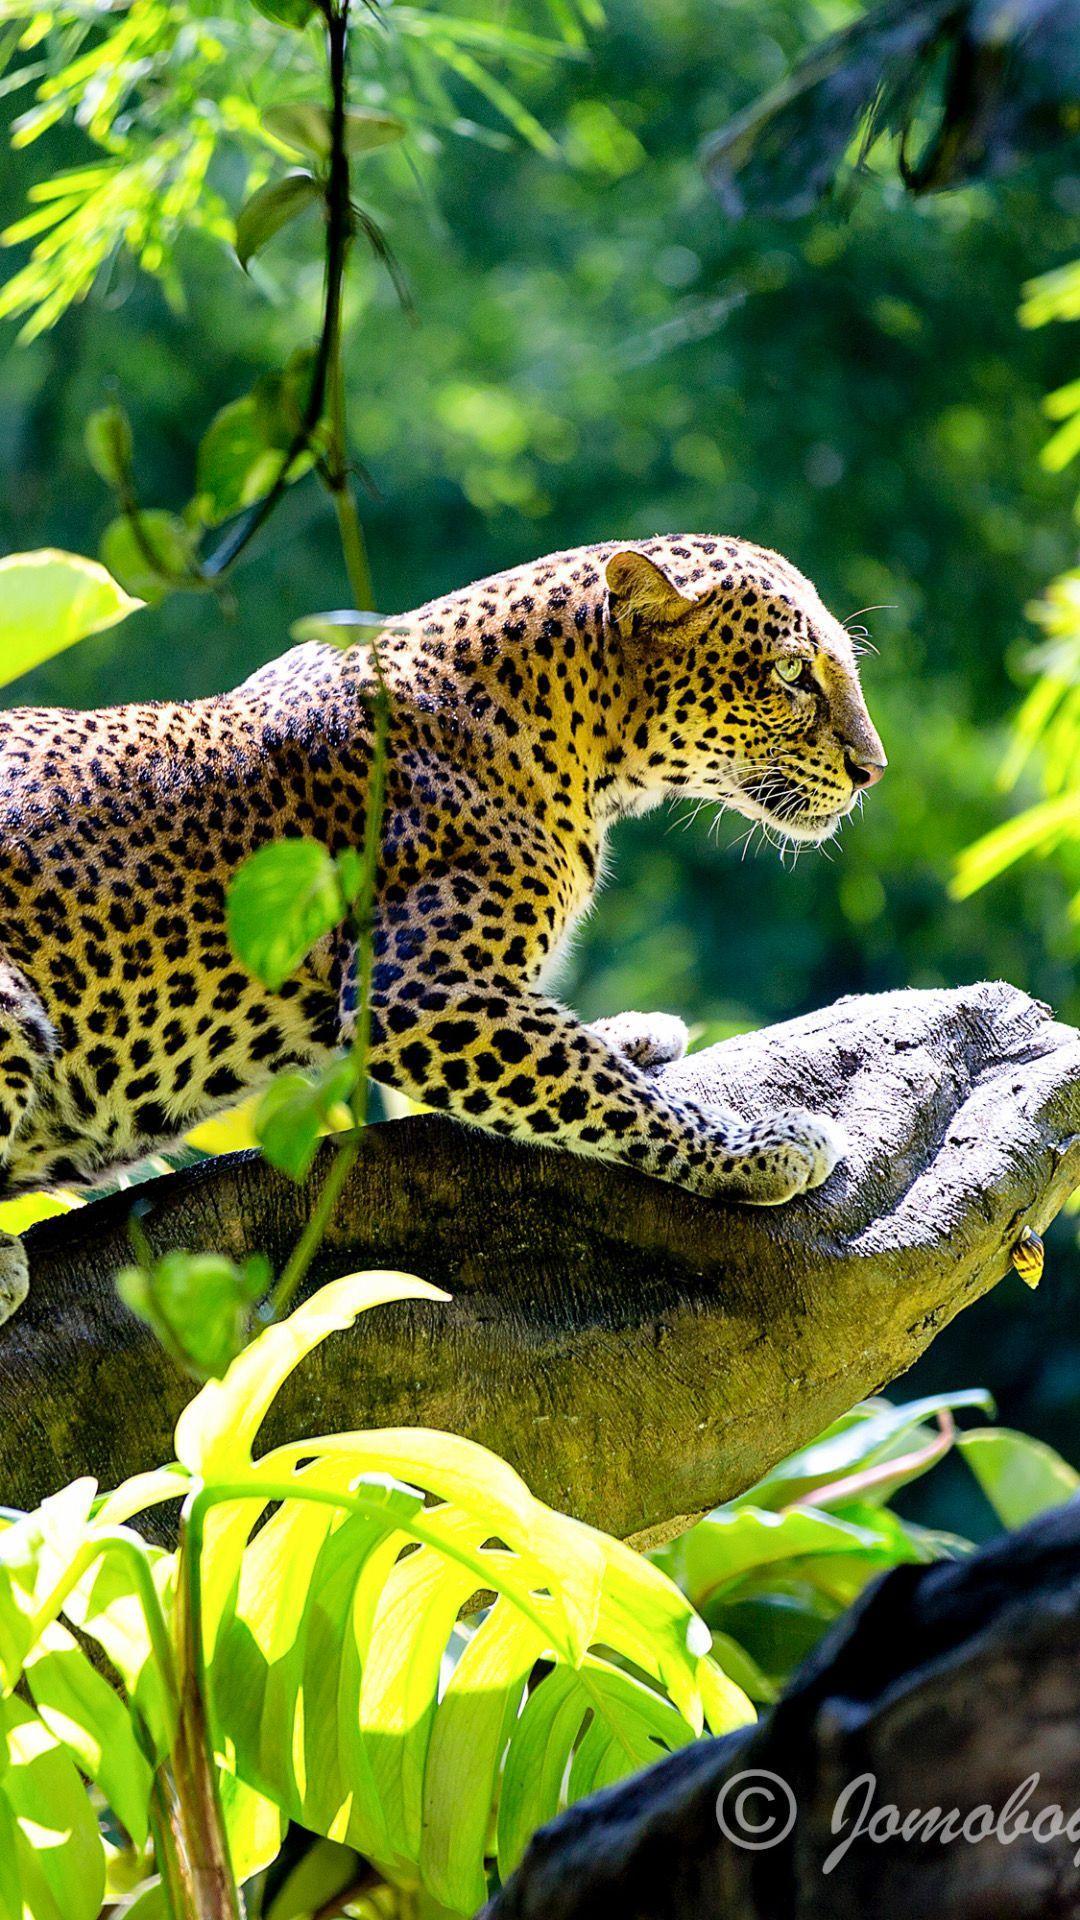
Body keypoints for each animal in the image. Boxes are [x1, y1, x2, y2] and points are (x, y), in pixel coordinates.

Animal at [0, 533, 886, 1323]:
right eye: (791, 672)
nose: (871, 771)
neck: (579, 744)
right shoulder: (415, 992)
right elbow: (600, 1087)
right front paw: (757, 1149)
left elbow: (582, 1052)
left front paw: (633, 1030)